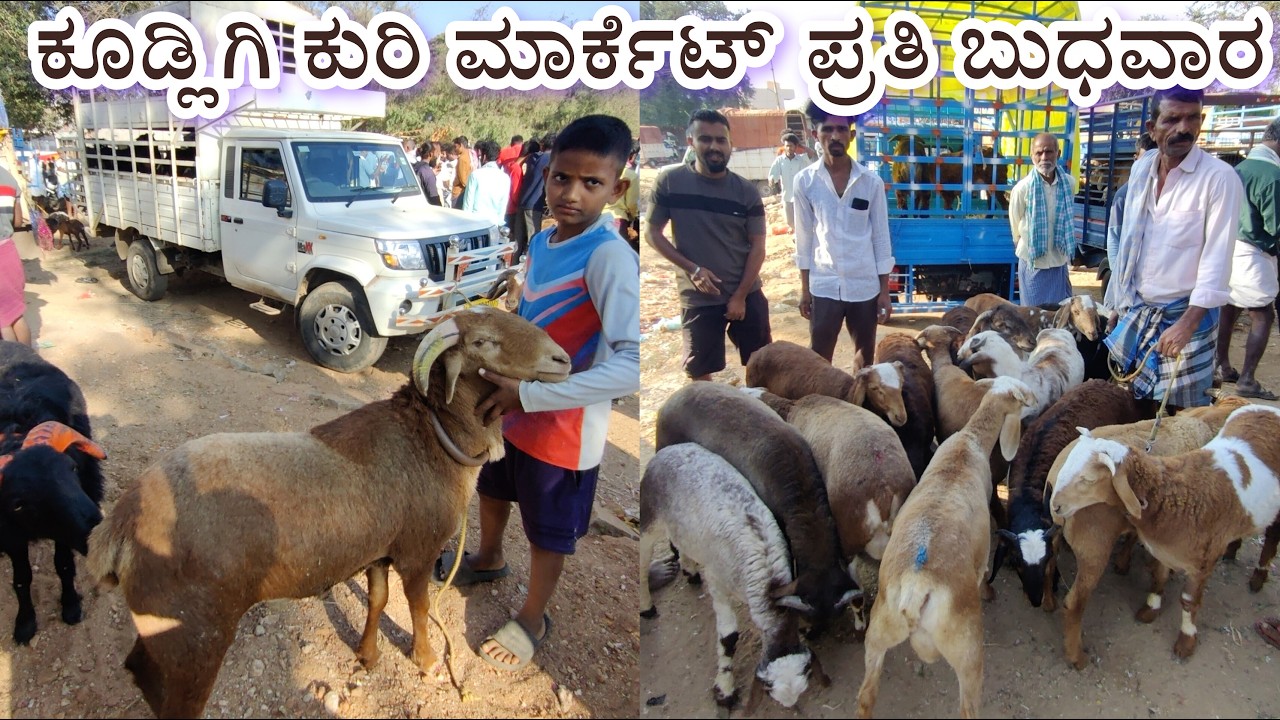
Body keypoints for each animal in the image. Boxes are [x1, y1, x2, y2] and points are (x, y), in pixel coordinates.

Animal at [0, 340, 106, 644]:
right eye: (18, 504)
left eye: (72, 468)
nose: (96, 534)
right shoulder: (11, 533)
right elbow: (22, 578)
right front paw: (25, 624)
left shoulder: (65, 532)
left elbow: (64, 564)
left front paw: (70, 606)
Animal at [86, 307, 573, 719]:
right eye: (484, 342)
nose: (563, 359)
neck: (429, 438)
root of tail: (119, 526)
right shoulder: (417, 554)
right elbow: (418, 609)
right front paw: (427, 661)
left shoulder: (378, 553)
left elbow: (377, 601)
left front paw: (367, 656)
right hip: (193, 639)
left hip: (161, 633)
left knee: (140, 669)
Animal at [640, 443, 830, 711]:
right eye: (769, 691)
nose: (792, 708)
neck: (766, 579)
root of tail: (671, 449)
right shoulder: (718, 583)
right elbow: (728, 639)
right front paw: (725, 691)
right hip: (649, 515)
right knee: (642, 560)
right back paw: (646, 606)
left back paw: (689, 570)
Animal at [855, 377, 1035, 720]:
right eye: (1020, 395)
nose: (1034, 399)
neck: (969, 442)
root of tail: (916, 591)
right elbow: (984, 572)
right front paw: (989, 592)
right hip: (966, 648)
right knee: (968, 708)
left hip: (879, 630)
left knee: (865, 697)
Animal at [1049, 402, 1280, 660]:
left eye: (1088, 479)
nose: (1056, 505)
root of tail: (1265, 408)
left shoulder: (1199, 559)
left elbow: (1184, 596)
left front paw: (1176, 632)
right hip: (1093, 549)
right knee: (1074, 602)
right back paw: (1076, 657)